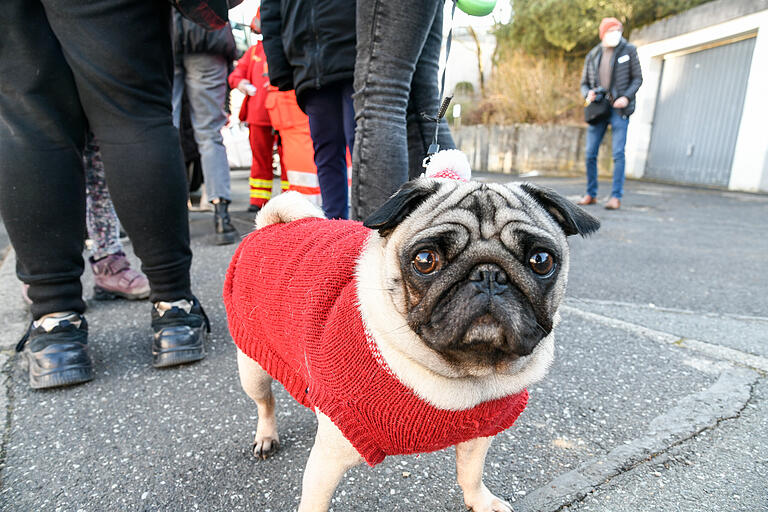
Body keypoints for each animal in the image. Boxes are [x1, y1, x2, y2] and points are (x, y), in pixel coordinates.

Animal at [224, 173, 600, 512]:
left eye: (541, 261)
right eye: (425, 260)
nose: (489, 274)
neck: (463, 377)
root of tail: (271, 225)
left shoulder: (480, 432)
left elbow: (471, 474)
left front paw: (479, 501)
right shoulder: (329, 457)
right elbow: (315, 502)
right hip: (252, 366)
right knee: (265, 402)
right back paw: (266, 436)